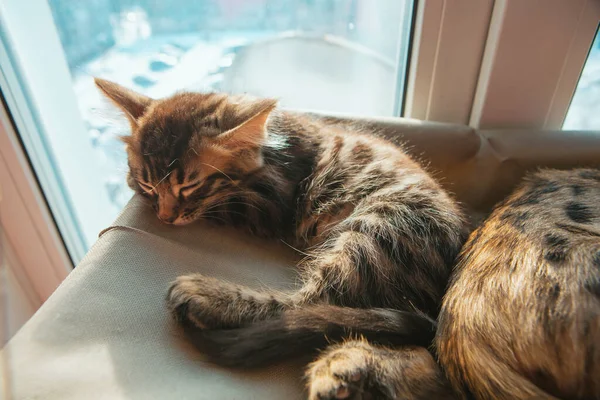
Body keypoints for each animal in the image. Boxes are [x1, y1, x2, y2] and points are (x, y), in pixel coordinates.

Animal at [96, 79, 466, 400]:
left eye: (190, 186)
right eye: (150, 184)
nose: (165, 217)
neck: (274, 144)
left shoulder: (271, 203)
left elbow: (223, 205)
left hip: (378, 228)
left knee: (311, 303)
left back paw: (207, 296)